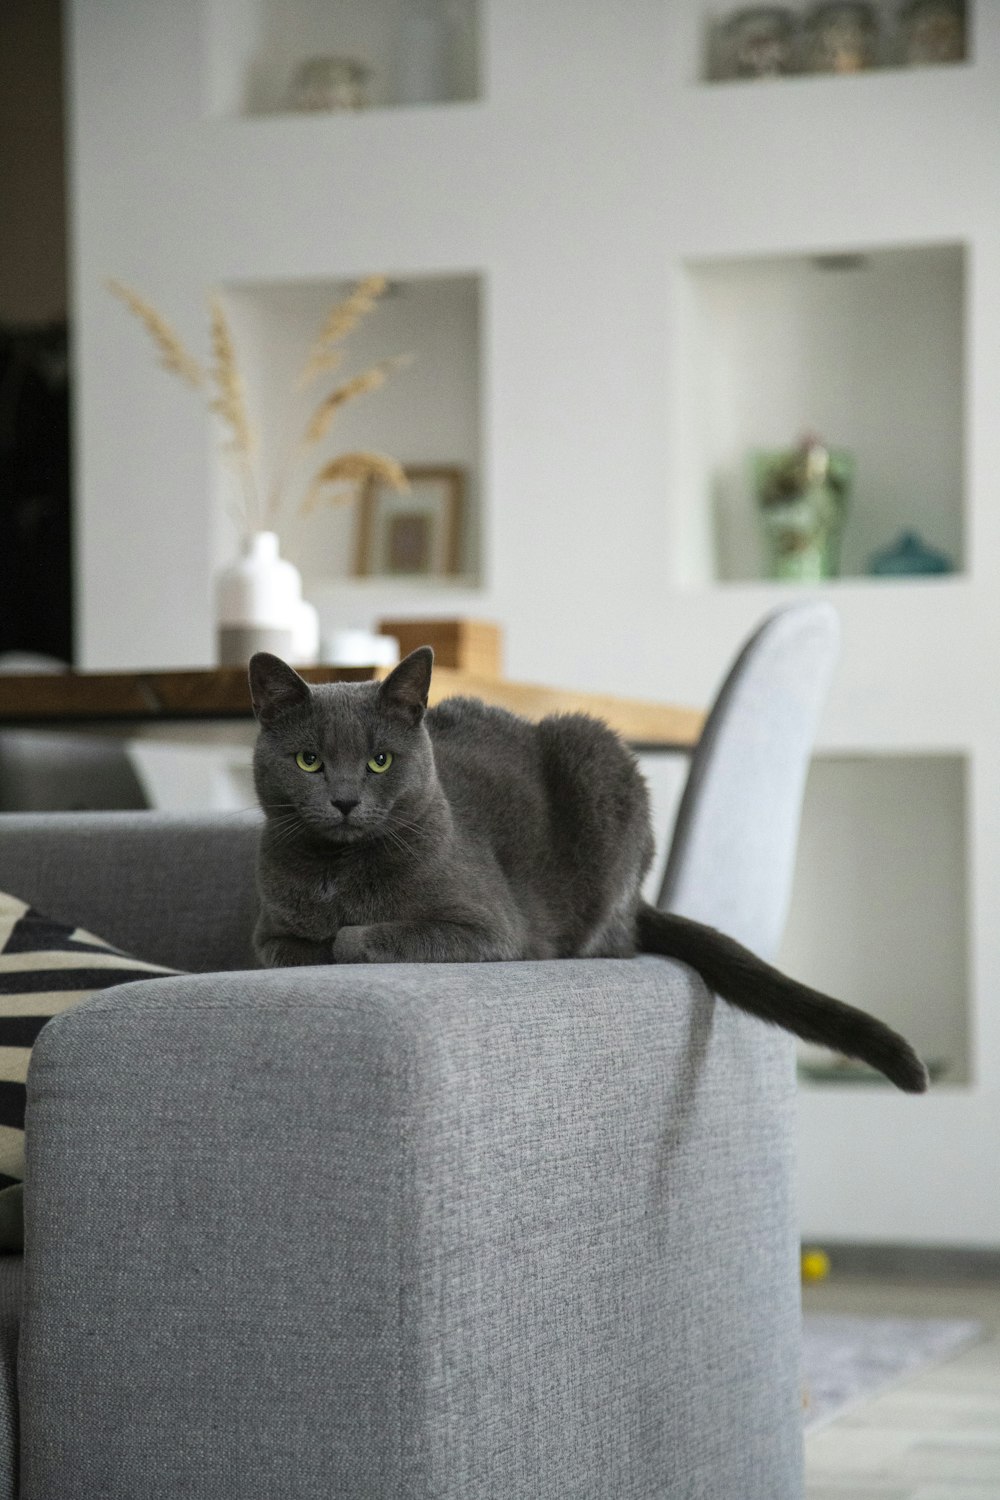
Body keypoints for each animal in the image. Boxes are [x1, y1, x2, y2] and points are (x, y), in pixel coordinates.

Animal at [250, 645, 929, 1092]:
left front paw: (341, 937)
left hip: (597, 753)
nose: (343, 800)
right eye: (309, 761)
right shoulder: (268, 933)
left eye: (380, 761)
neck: (339, 871)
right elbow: (289, 946)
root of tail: (641, 901)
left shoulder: (489, 928)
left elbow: (354, 938)